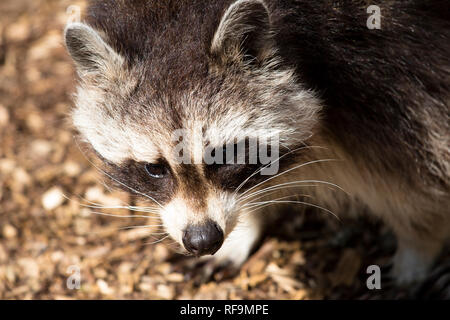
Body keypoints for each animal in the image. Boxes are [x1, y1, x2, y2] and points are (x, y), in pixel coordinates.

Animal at [64, 0, 450, 284]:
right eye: (154, 169)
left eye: (224, 157)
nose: (203, 240)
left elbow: (413, 164)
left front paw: (418, 245)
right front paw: (246, 224)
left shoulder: (390, 65)